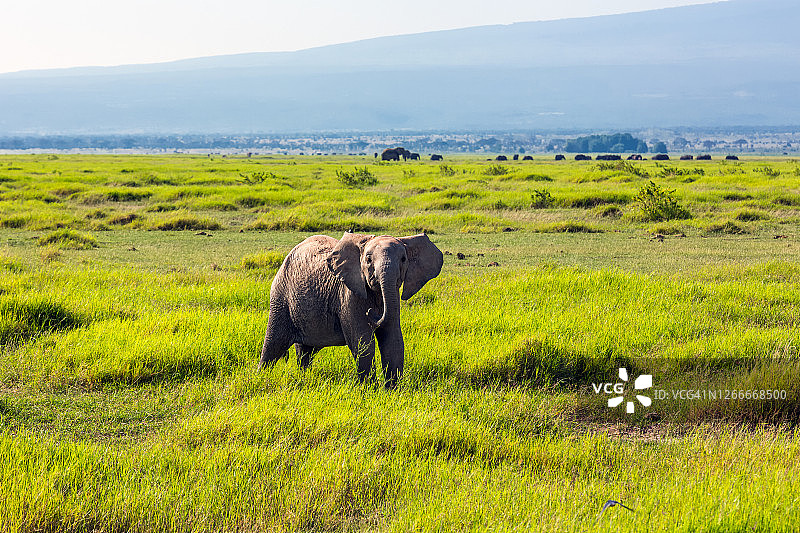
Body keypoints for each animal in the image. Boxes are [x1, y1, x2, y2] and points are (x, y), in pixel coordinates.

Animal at [259, 232, 444, 388]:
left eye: (404, 259)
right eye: (368, 259)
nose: (372, 313)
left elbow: (393, 341)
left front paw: (391, 390)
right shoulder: (349, 296)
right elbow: (362, 342)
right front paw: (370, 389)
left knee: (305, 351)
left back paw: (304, 376)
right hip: (280, 298)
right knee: (273, 345)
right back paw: (260, 376)